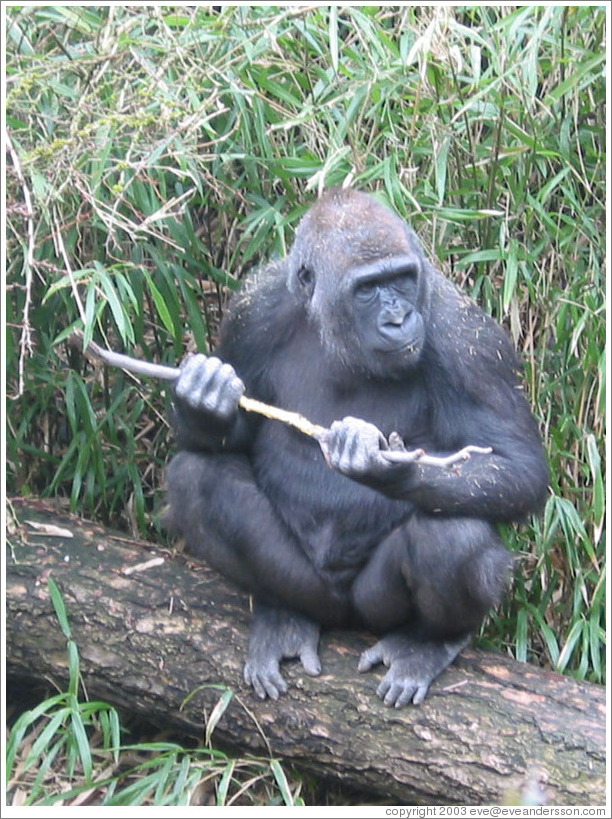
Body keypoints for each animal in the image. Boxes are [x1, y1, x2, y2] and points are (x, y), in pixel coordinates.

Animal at [164, 184, 548, 704]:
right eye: (367, 288)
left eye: (402, 279)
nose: (399, 318)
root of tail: (344, 615)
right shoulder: (252, 308)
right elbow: (231, 435)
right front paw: (205, 397)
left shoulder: (468, 337)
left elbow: (518, 467)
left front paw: (391, 467)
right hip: (311, 588)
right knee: (196, 480)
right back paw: (284, 614)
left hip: (373, 608)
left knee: (452, 537)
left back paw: (429, 642)